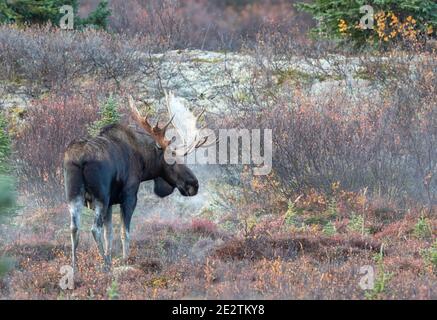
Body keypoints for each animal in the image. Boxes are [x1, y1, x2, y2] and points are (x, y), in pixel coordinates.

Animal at [63, 91, 213, 272]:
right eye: (172, 160)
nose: (194, 185)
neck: (143, 162)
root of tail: (80, 159)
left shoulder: (111, 202)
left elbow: (109, 234)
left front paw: (112, 258)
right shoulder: (129, 196)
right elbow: (124, 233)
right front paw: (125, 260)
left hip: (73, 195)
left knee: (74, 228)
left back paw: (75, 267)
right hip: (100, 196)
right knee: (94, 228)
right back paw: (104, 264)